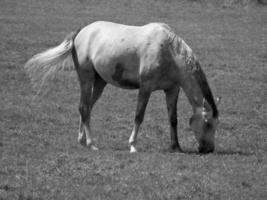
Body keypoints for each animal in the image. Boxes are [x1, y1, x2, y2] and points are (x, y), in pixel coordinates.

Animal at [24, 21, 222, 154]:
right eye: (208, 123)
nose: (208, 149)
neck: (169, 50)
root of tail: (81, 32)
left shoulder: (172, 90)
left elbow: (173, 119)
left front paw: (176, 147)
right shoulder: (146, 88)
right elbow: (139, 116)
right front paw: (133, 145)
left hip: (100, 83)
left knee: (86, 108)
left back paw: (82, 140)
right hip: (86, 79)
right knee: (84, 108)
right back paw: (91, 144)